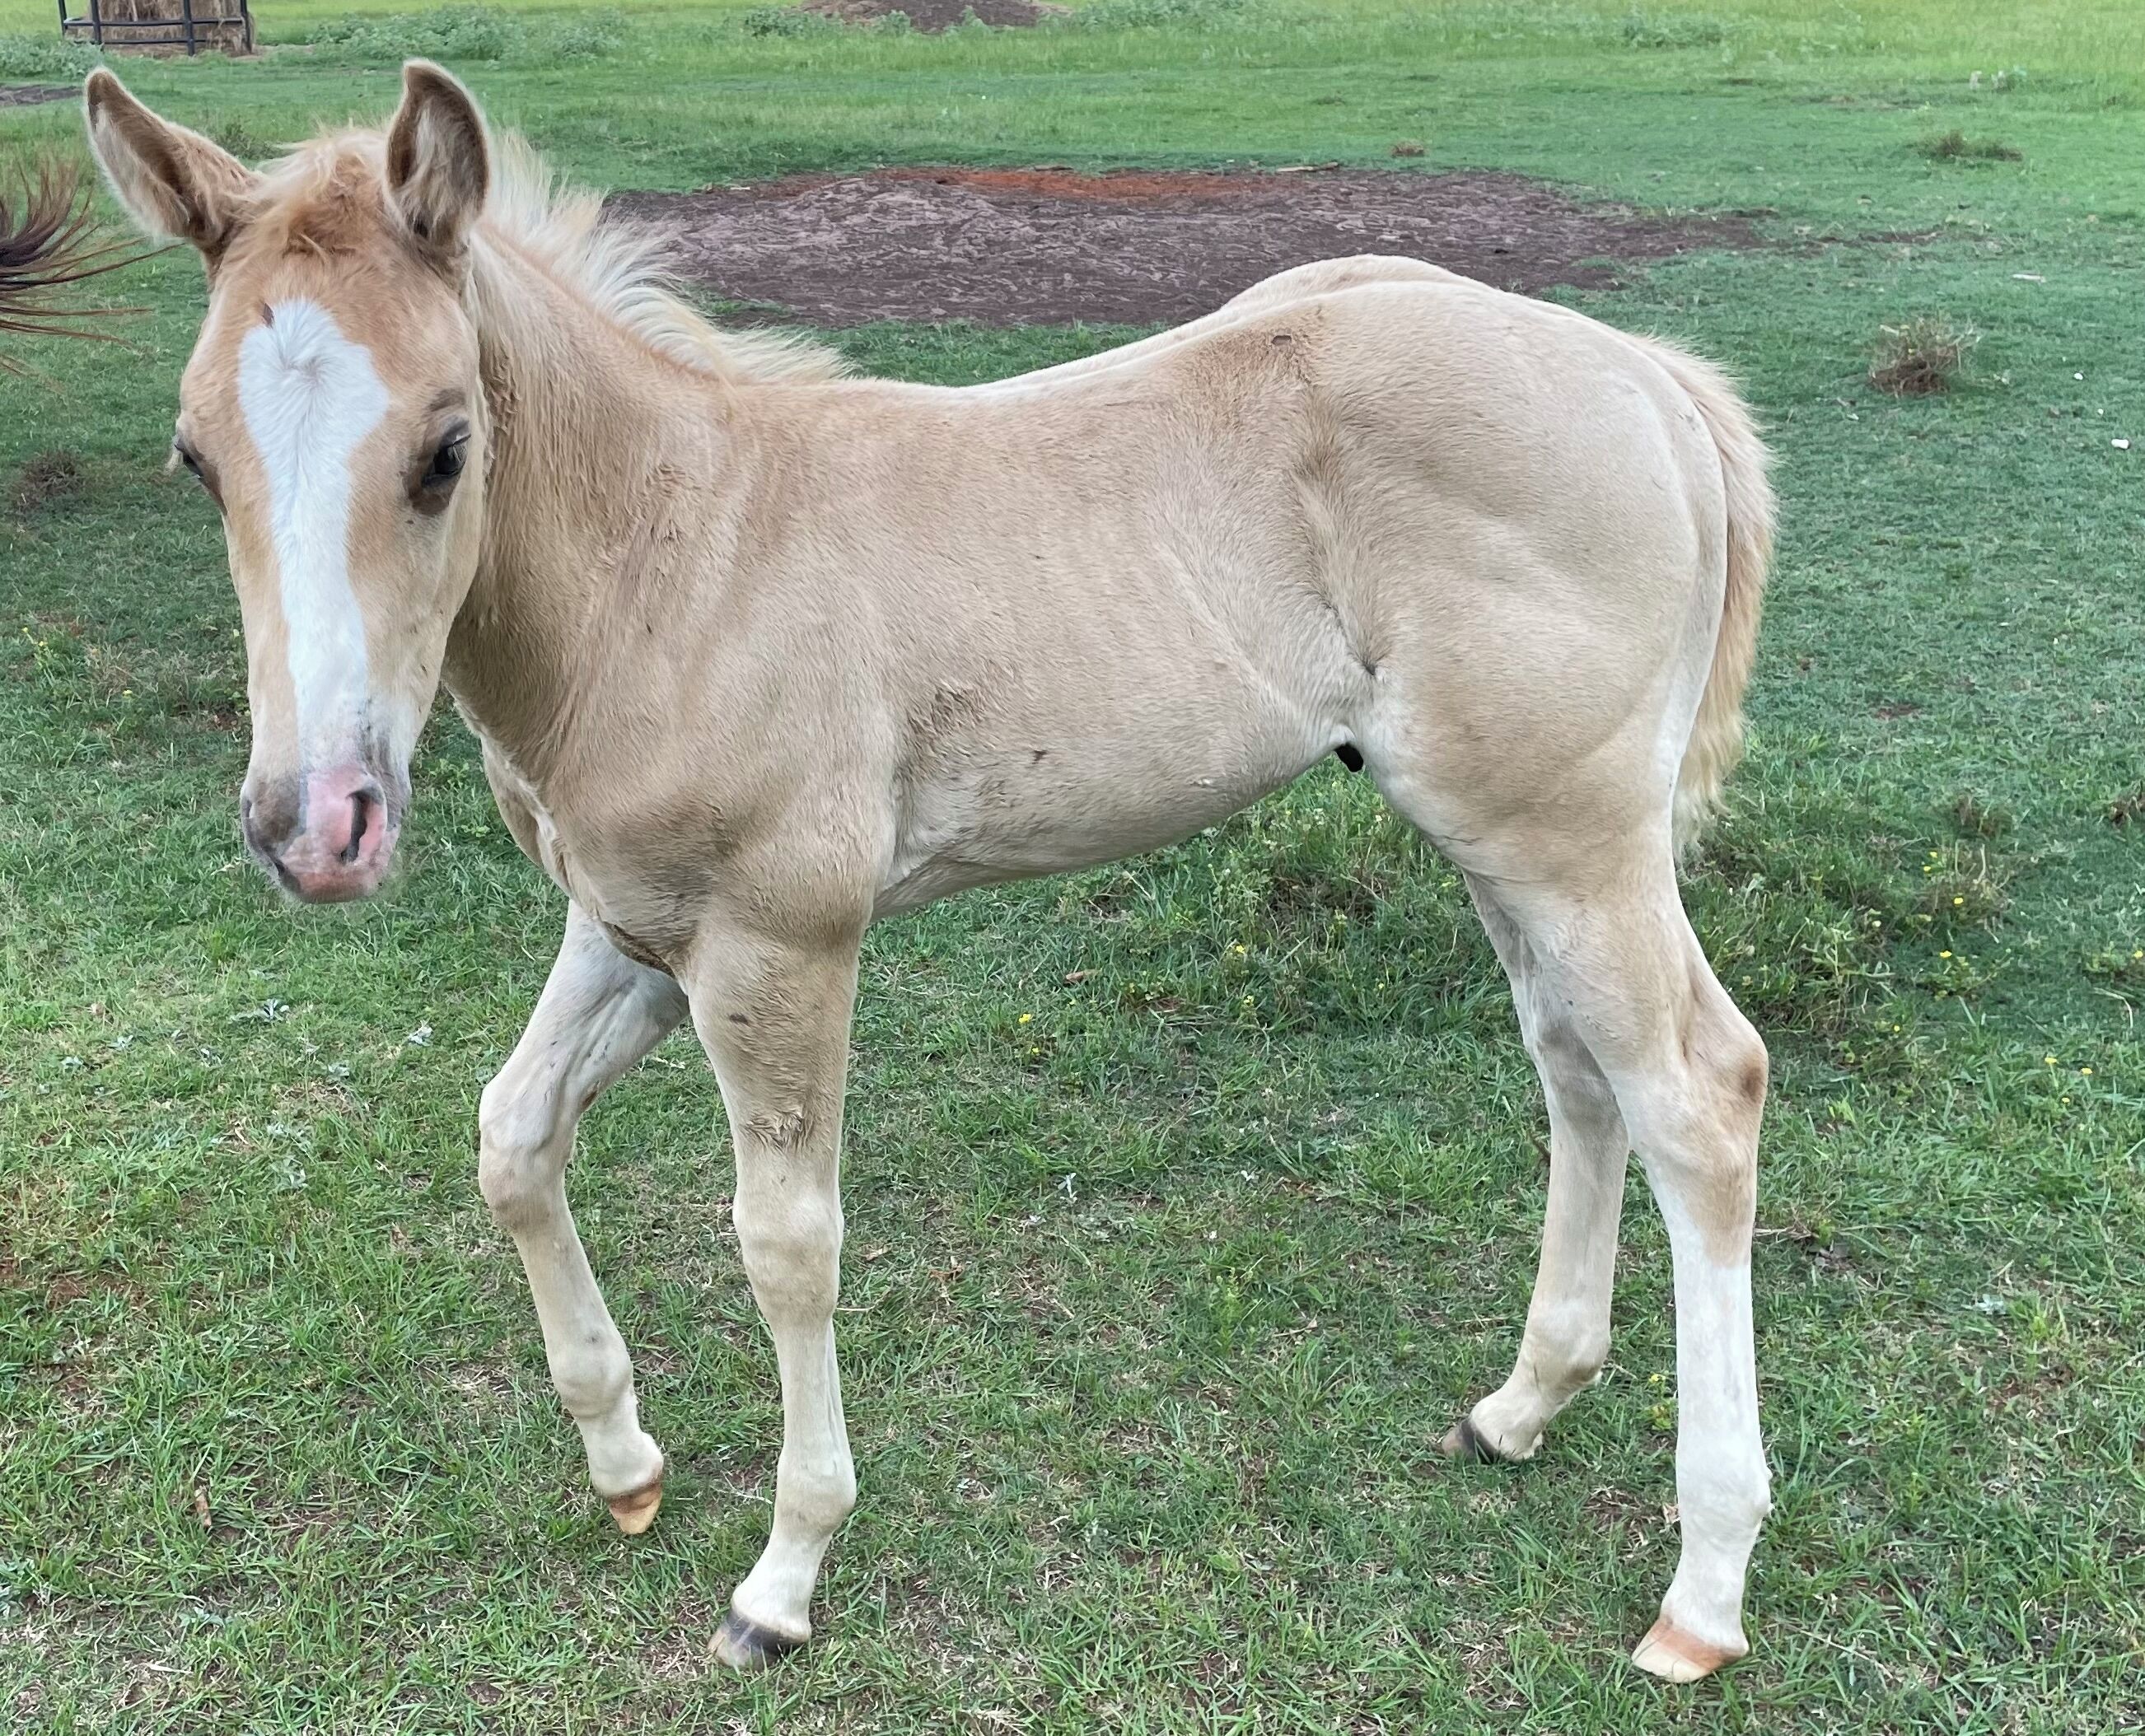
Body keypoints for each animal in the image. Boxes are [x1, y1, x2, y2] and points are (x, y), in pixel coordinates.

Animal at [84, 61, 1776, 1682]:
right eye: (195, 459)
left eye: (445, 449)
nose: (318, 824)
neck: (671, 569)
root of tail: (1646, 379)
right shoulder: (633, 931)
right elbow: (512, 1136)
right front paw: (624, 1458)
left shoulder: (778, 946)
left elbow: (787, 1245)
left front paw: (782, 1577)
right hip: (1497, 837)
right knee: (1576, 1068)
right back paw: (1520, 1406)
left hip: (1571, 837)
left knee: (1699, 1094)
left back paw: (1700, 1588)